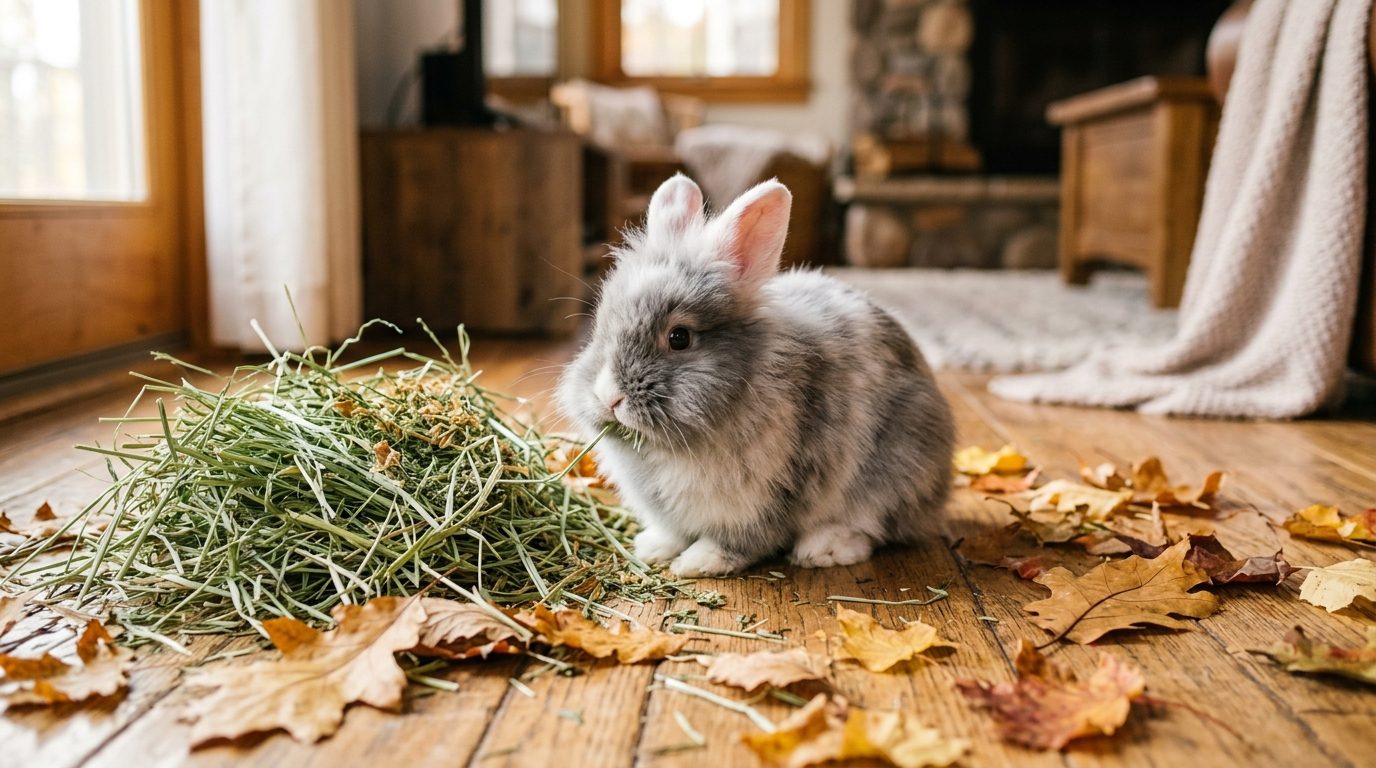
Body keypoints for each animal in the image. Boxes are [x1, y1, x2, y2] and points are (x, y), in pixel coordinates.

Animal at [557, 173, 954, 577]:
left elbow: (740, 542)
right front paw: (651, 548)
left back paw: (823, 549)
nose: (608, 396)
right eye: (601, 325)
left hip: (895, 469)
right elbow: (672, 532)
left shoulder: (763, 499)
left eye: (679, 337)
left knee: (872, 524)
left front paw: (695, 563)